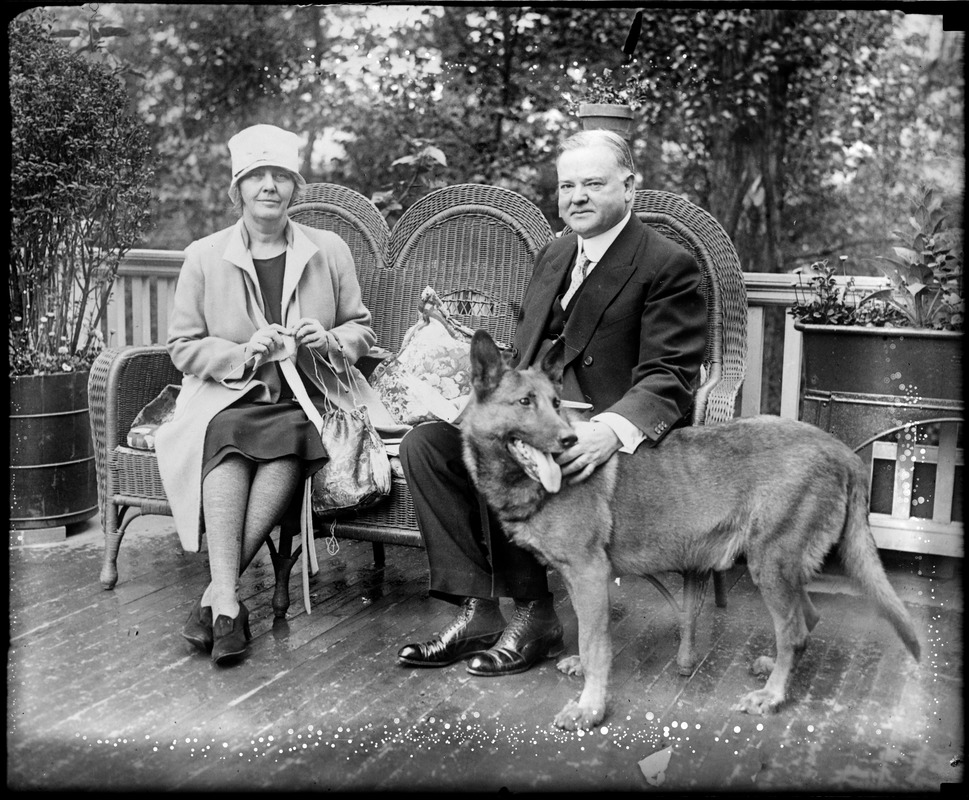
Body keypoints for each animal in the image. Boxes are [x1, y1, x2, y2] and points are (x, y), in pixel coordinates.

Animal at [462, 328, 924, 728]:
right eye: (525, 401)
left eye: (556, 403)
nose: (569, 442)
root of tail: (840, 450)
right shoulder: (579, 579)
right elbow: (592, 639)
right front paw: (584, 674)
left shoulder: (588, 573)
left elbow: (596, 645)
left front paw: (590, 709)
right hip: (781, 568)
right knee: (804, 621)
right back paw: (775, 669)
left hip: (769, 565)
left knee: (792, 631)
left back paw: (773, 696)